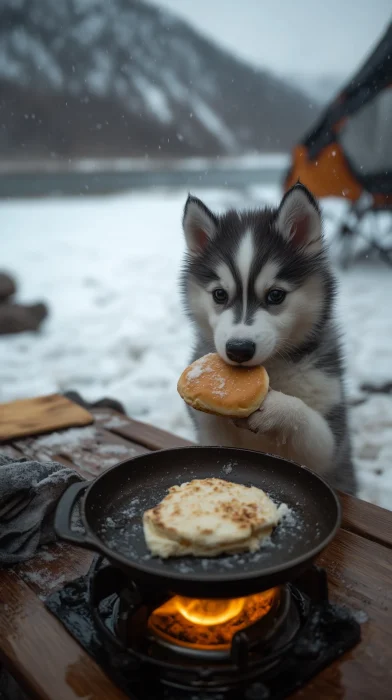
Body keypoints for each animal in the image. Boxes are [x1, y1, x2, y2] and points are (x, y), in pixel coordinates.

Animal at [181, 183, 356, 494]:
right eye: (219, 294)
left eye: (276, 295)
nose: (238, 349)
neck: (271, 368)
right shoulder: (210, 434)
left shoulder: (331, 446)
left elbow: (309, 423)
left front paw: (277, 407)